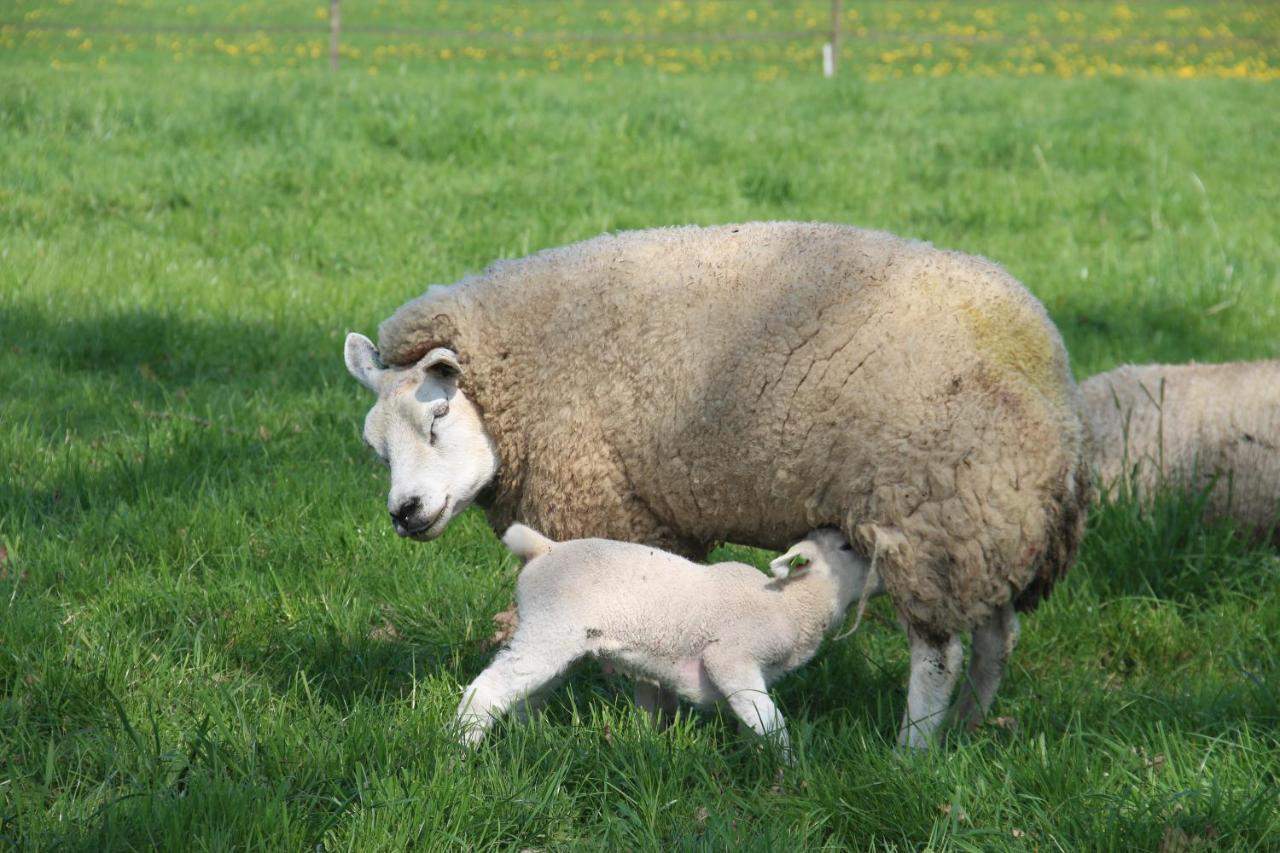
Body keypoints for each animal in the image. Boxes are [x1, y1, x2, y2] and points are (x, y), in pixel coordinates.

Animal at [453, 525, 880, 758]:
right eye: (846, 548)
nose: (881, 574)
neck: (790, 604)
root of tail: (545, 548)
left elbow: (753, 722)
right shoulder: (730, 658)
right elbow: (771, 722)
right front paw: (789, 772)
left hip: (557, 641)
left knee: (528, 697)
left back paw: (536, 740)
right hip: (548, 630)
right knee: (485, 692)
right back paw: (461, 751)